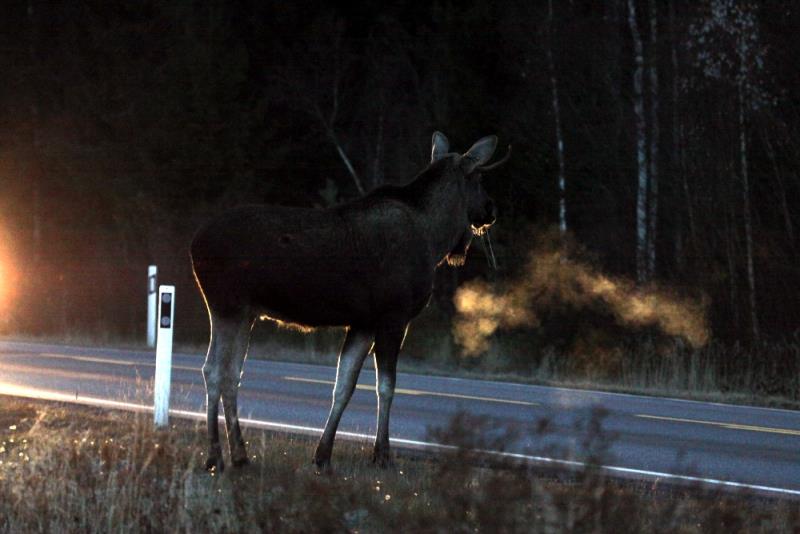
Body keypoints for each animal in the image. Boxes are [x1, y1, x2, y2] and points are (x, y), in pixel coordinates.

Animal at [191, 133, 510, 474]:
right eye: (478, 179)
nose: (491, 209)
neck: (435, 238)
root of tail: (194, 244)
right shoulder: (393, 316)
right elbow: (386, 386)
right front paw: (382, 454)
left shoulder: (363, 323)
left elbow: (343, 385)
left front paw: (323, 454)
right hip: (225, 305)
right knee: (213, 369)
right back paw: (215, 456)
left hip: (245, 313)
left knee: (232, 374)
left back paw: (240, 455)